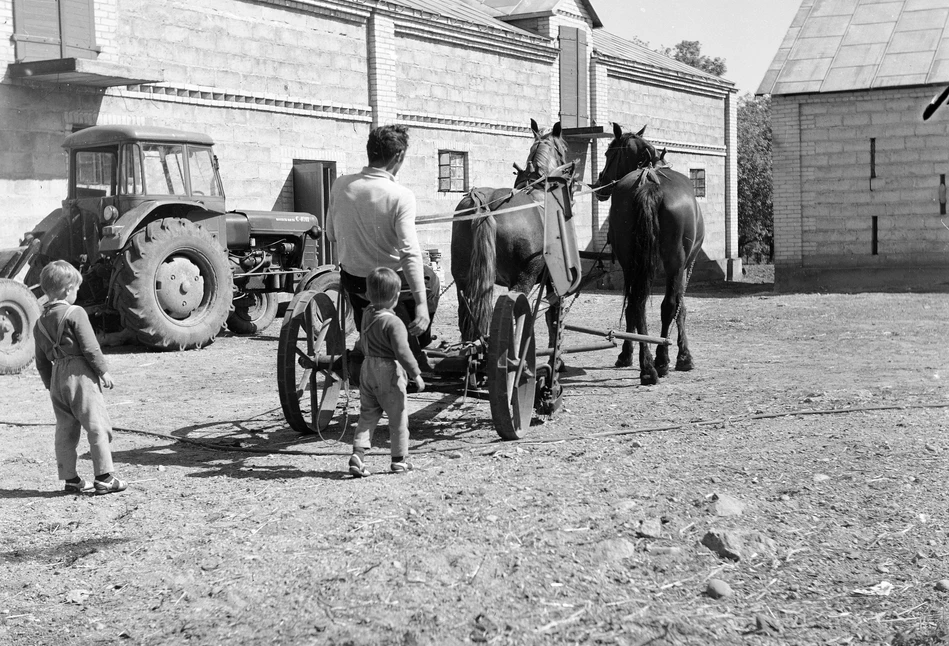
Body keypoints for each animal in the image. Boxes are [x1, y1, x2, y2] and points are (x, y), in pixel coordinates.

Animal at [450, 120, 572, 344]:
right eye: (564, 149)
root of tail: (484, 202)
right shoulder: (553, 278)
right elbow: (553, 315)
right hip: (522, 281)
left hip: (463, 281)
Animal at [592, 123, 704, 384]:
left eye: (608, 153)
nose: (600, 182)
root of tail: (649, 181)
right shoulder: (685, 266)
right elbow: (680, 307)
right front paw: (683, 356)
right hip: (669, 263)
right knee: (657, 305)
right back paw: (658, 361)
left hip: (636, 263)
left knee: (638, 305)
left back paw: (648, 366)